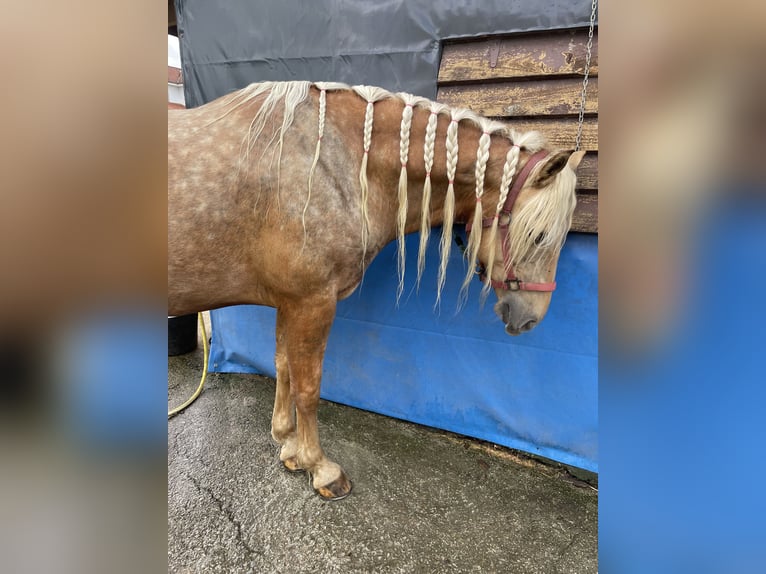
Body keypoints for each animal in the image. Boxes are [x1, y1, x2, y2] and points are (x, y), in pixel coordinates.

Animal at [170, 81, 588, 500]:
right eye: (539, 235)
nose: (530, 317)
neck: (330, 160)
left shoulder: (290, 302)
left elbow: (284, 368)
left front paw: (288, 445)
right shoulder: (312, 303)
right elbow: (308, 387)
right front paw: (320, 467)